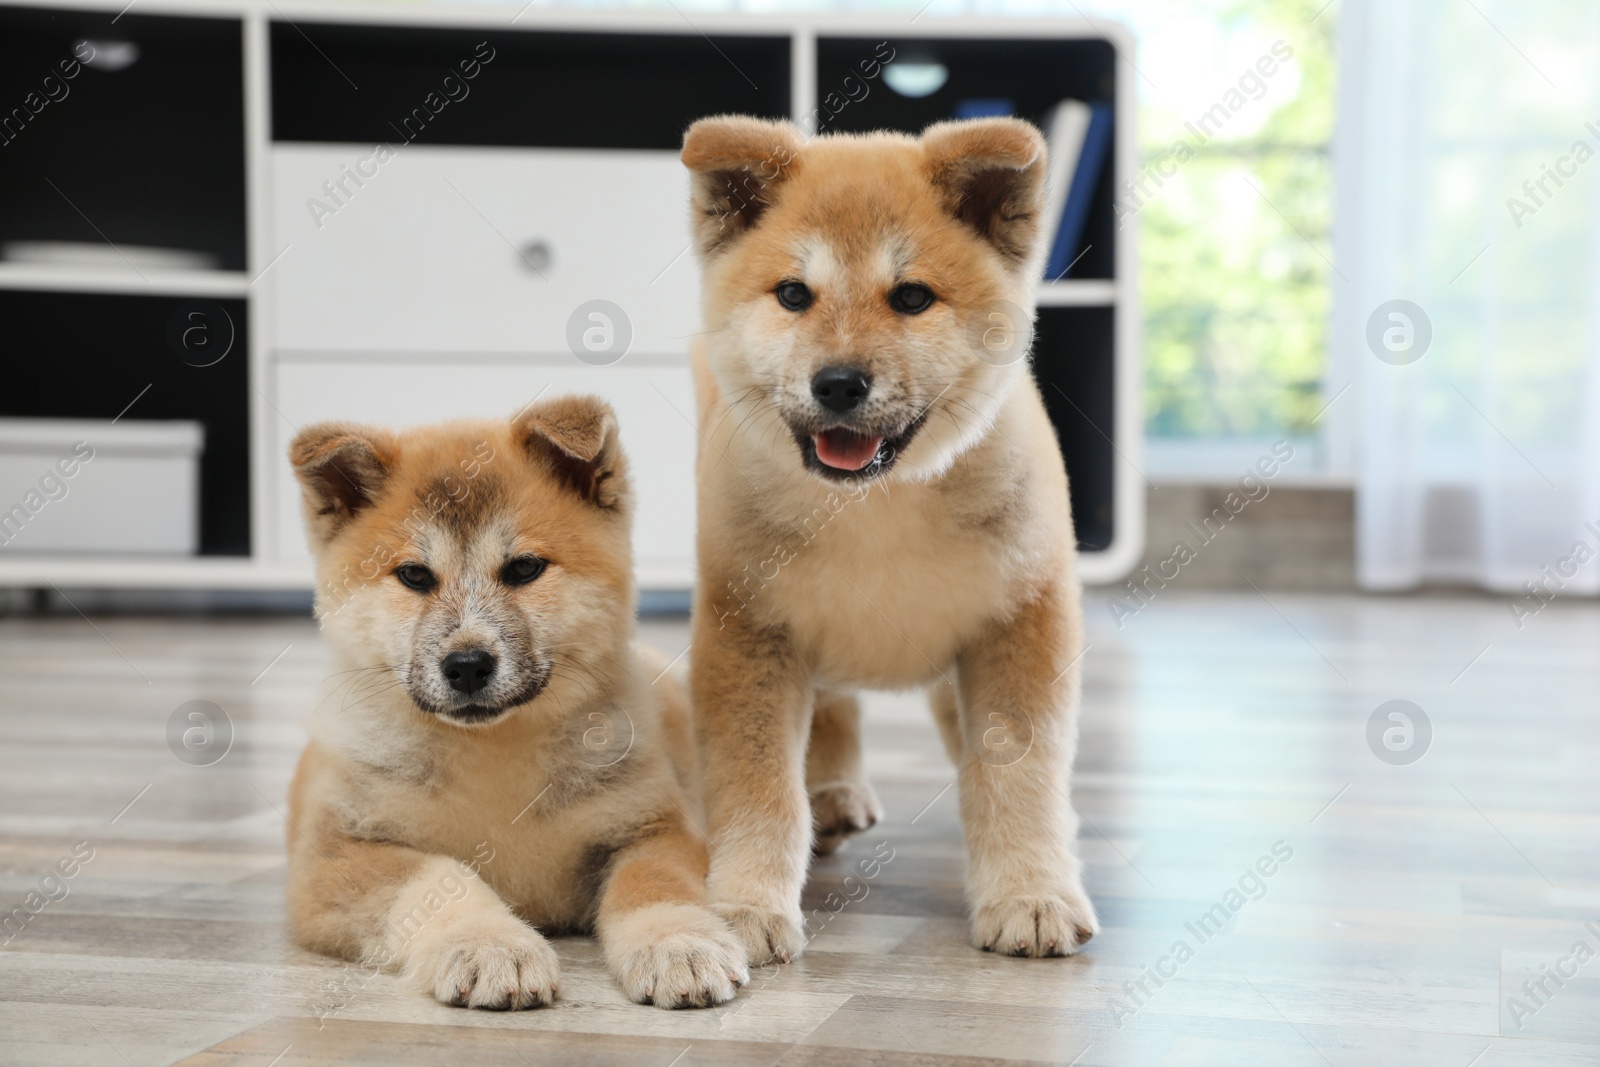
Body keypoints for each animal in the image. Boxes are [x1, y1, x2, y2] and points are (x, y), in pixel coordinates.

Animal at [675, 116, 1100, 966]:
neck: (875, 507)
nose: (839, 382)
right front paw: (745, 903)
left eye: (911, 298)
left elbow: (1020, 774)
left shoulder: (1020, 620)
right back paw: (833, 789)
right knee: (834, 706)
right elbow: (758, 786)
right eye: (794, 295)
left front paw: (1030, 891)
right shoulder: (750, 630)